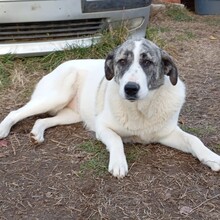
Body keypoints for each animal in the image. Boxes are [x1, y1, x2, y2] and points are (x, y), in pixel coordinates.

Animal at [0, 38, 220, 178]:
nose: (130, 88)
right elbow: (116, 140)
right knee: (16, 112)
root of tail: (60, 64)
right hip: (55, 97)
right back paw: (3, 129)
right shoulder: (102, 127)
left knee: (42, 119)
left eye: (147, 62)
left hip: (71, 114)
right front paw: (118, 163)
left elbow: (194, 139)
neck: (140, 108)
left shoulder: (167, 134)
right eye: (122, 61)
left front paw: (211, 157)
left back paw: (37, 133)